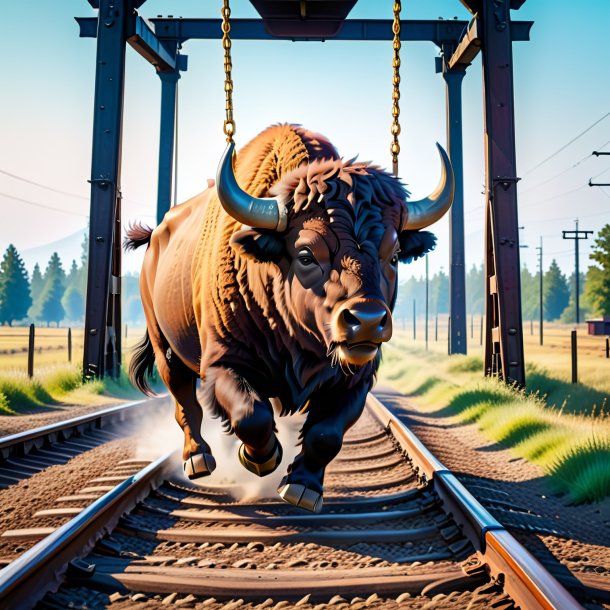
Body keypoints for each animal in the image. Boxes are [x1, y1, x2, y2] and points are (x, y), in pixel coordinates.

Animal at [127, 122, 452, 508]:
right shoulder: (222, 363)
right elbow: (251, 415)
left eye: (394, 255)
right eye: (306, 254)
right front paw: (261, 458)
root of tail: (155, 237)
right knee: (183, 399)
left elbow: (325, 433)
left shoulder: (356, 377)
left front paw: (302, 488)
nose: (367, 321)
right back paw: (198, 458)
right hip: (166, 347)